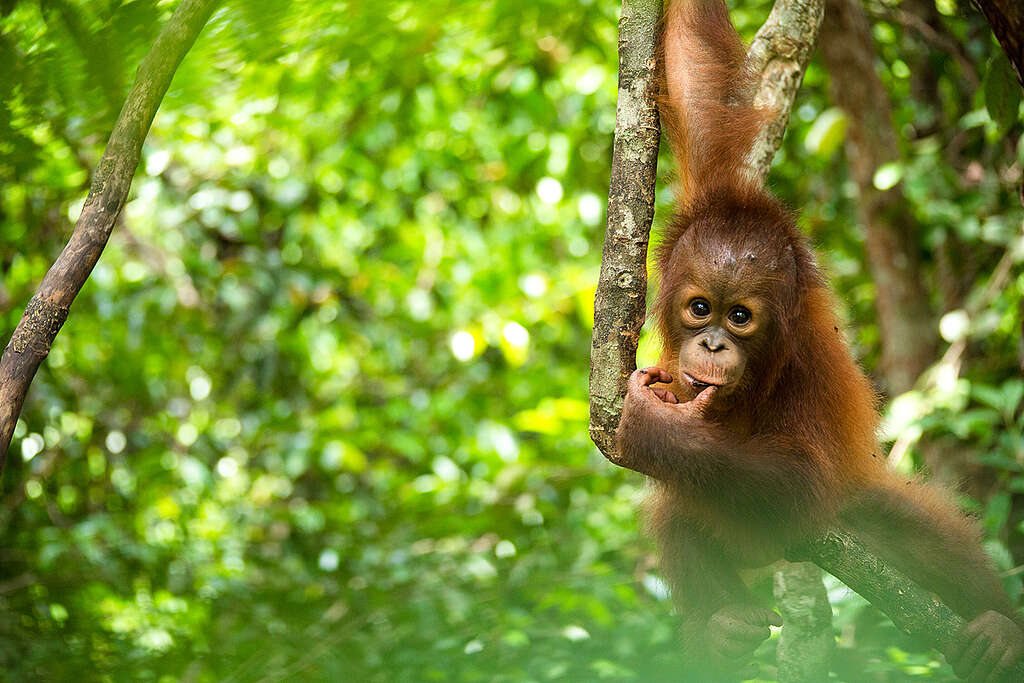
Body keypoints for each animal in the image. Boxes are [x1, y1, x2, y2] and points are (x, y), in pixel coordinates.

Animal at [613, 1, 1024, 680]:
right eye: (700, 310)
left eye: (740, 317)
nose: (714, 345)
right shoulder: (716, 195)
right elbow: (695, 78)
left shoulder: (802, 364)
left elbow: (801, 477)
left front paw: (659, 429)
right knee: (680, 516)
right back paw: (722, 629)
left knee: (918, 534)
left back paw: (998, 628)